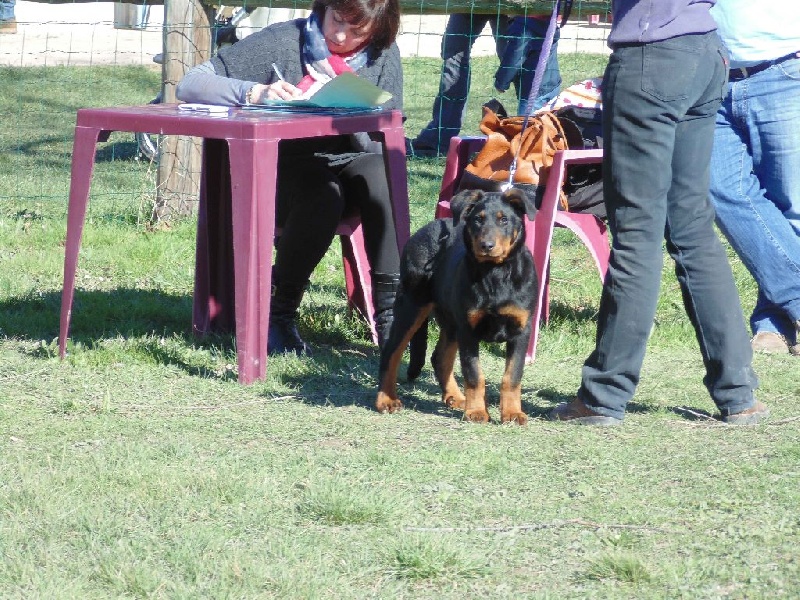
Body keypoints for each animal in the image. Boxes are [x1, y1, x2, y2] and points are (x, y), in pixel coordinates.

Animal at [376, 190, 536, 424]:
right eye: (478, 219)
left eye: (504, 220)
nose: (487, 246)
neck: (495, 273)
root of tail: (429, 227)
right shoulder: (468, 330)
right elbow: (474, 373)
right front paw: (476, 411)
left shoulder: (521, 330)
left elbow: (512, 376)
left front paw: (513, 413)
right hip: (412, 306)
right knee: (391, 352)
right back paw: (386, 400)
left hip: (451, 321)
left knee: (440, 358)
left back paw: (456, 397)